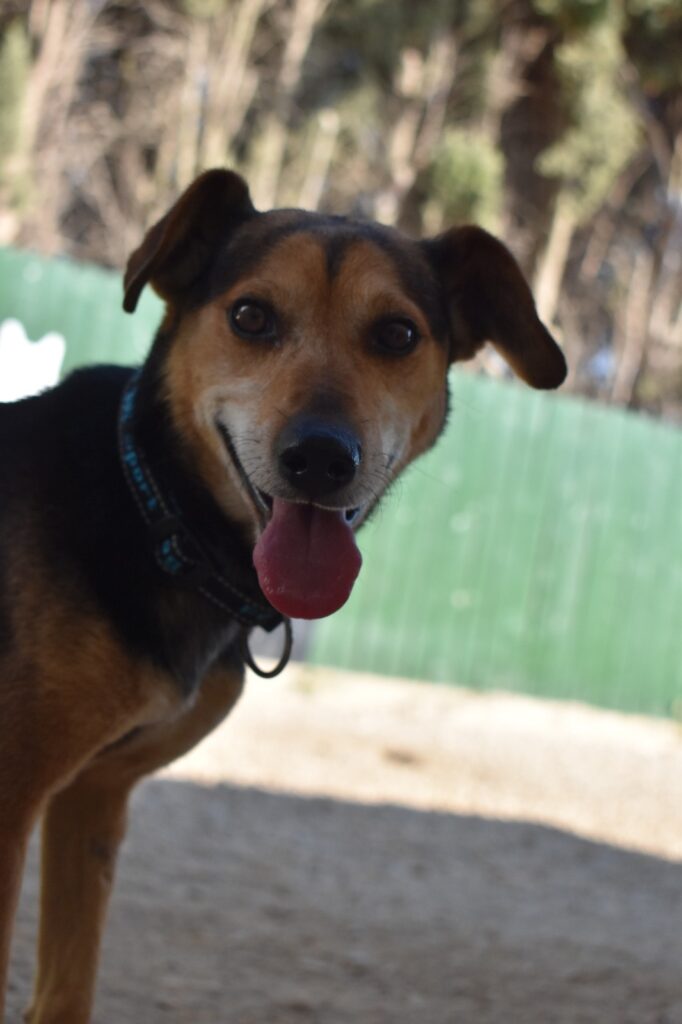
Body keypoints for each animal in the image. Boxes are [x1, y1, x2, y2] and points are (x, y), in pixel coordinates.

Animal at [0, 168, 566, 1022]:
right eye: (250, 317)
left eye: (396, 334)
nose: (321, 458)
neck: (156, 513)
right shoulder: (11, 798)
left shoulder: (91, 799)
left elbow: (67, 992)